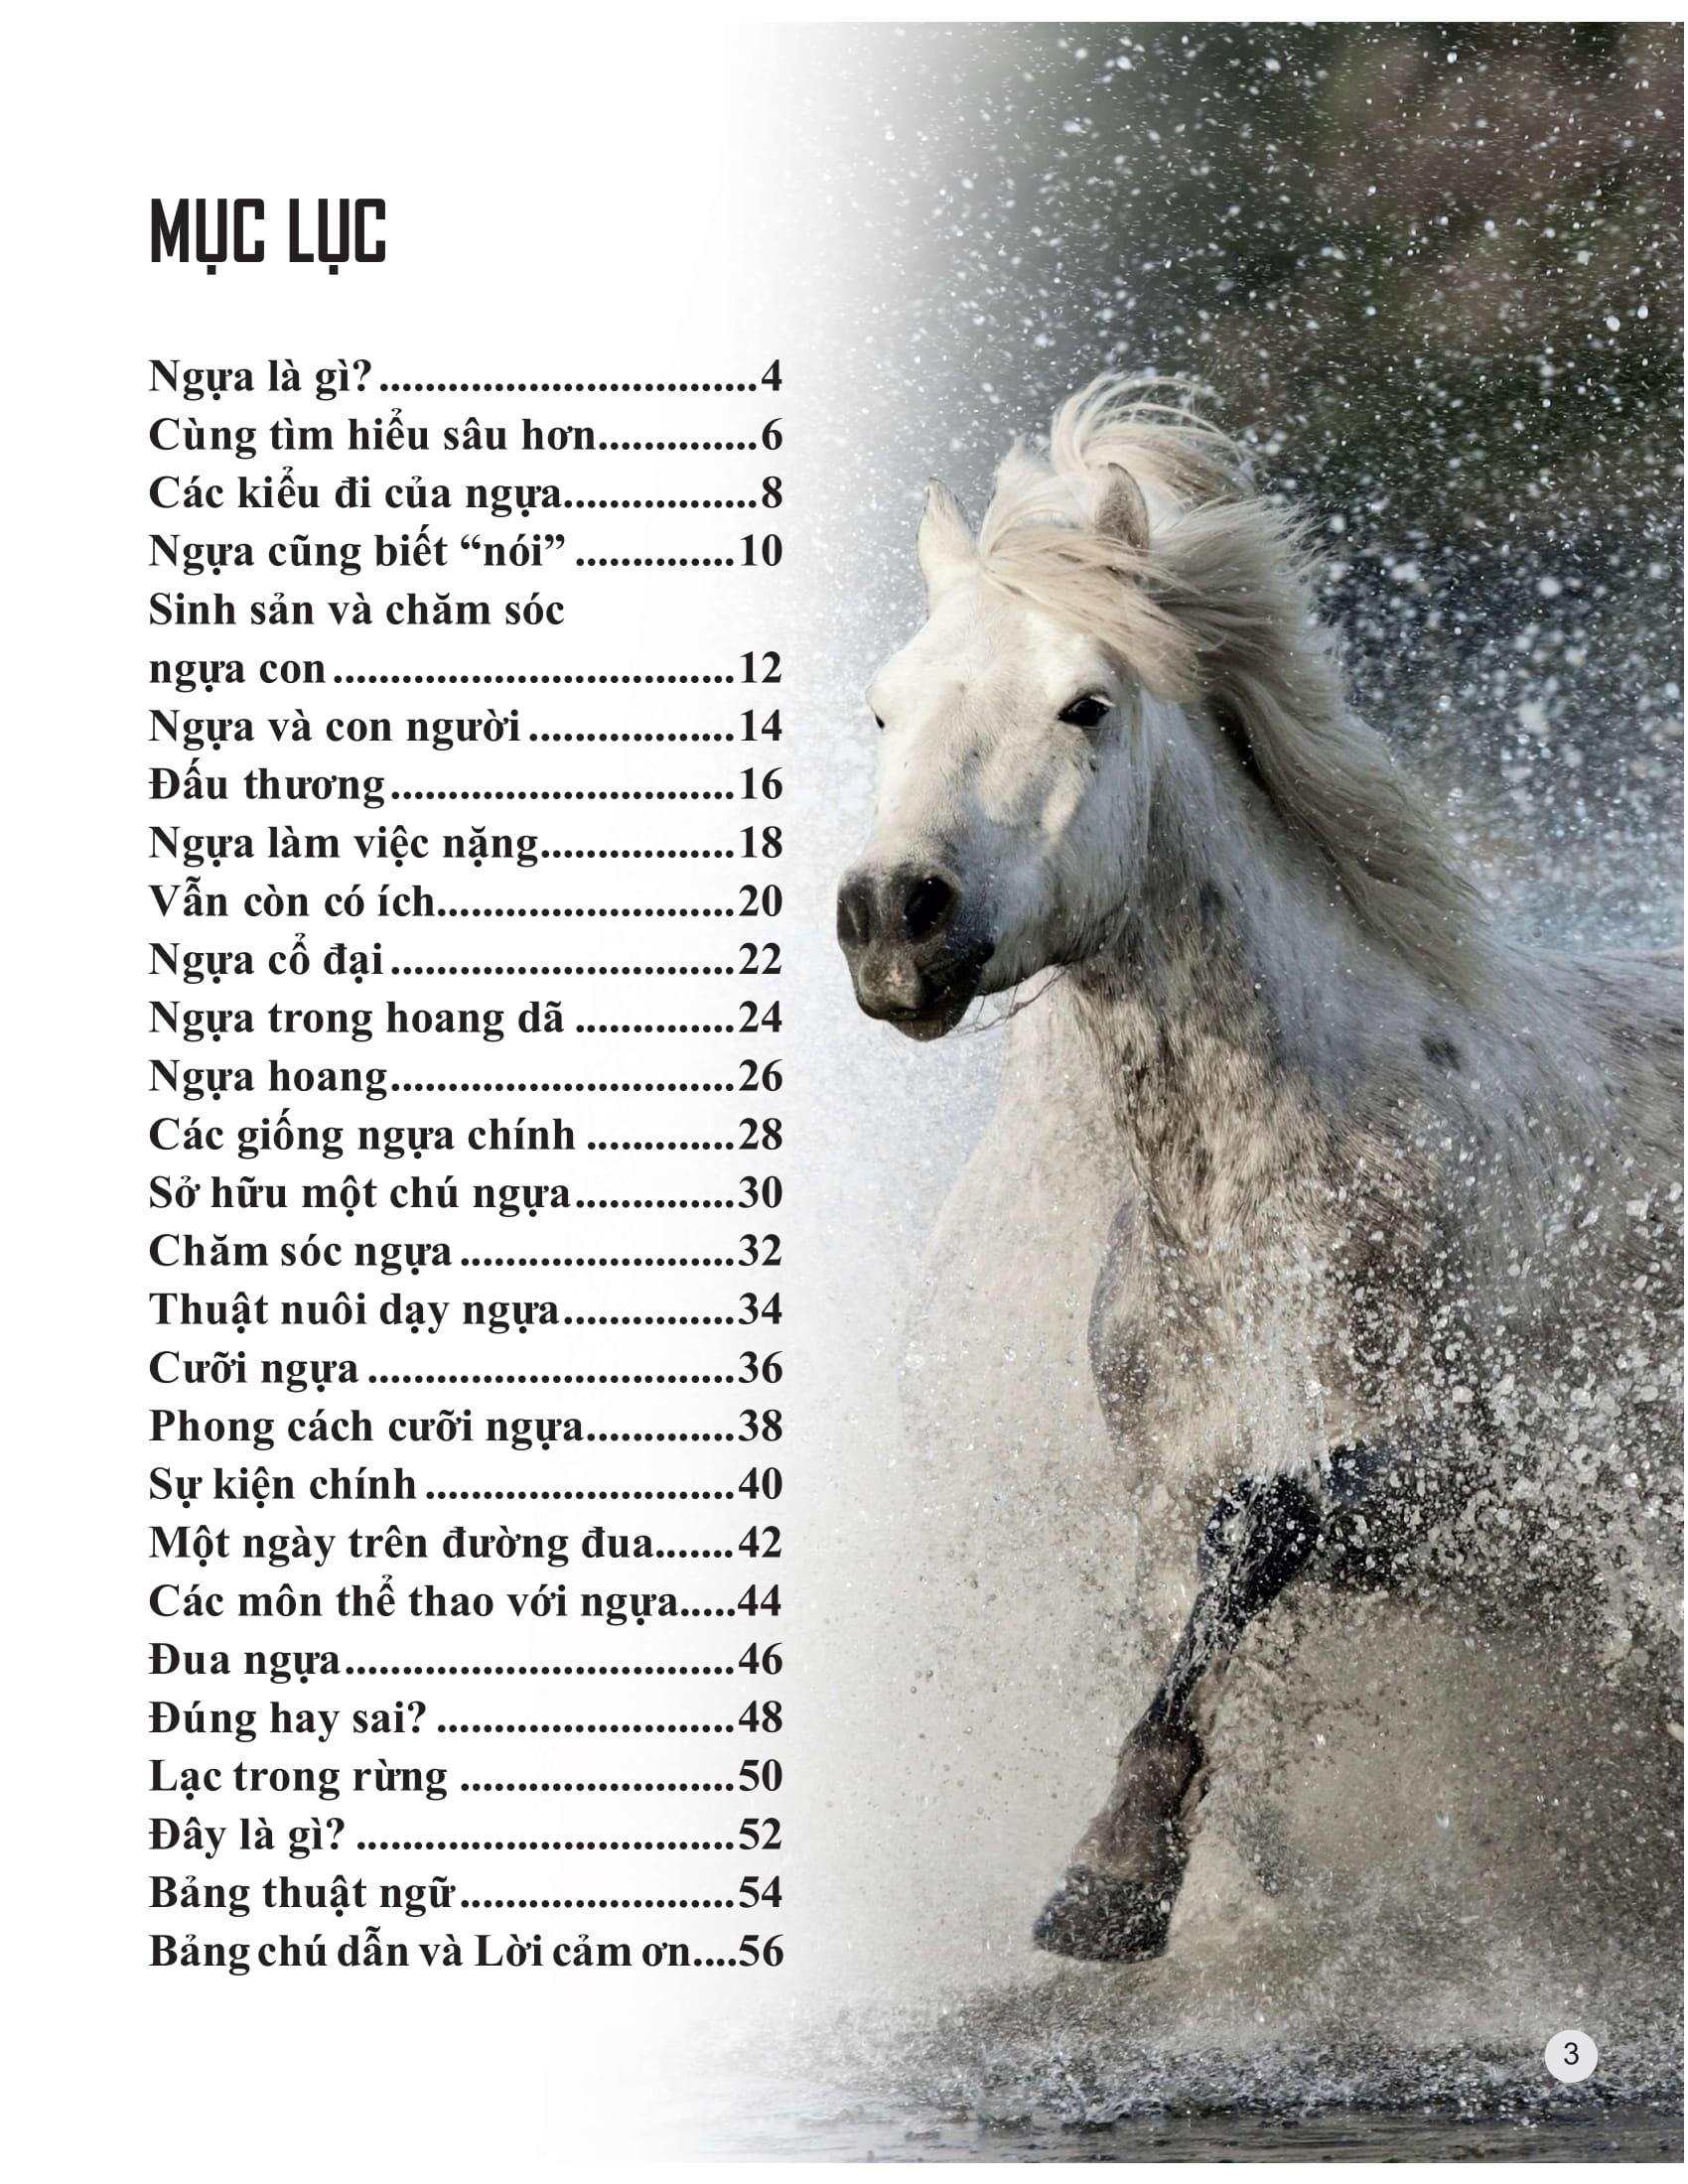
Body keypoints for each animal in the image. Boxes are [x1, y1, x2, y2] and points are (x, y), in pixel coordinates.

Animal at [836, 377, 1683, 1964]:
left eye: (1086, 704)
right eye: (884, 703)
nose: (891, 919)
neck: (1257, 1209)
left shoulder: (1503, 1495)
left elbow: (1273, 1523)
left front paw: (1109, 1875)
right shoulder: (1157, 1503)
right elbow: (1206, 1635)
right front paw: (1163, 1881)